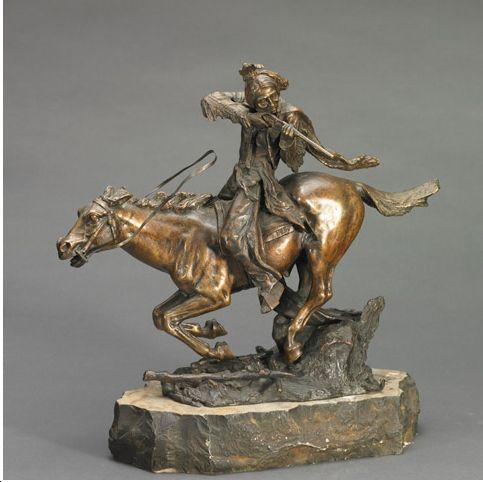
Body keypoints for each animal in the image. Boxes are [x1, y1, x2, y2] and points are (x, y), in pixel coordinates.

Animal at [57, 171, 439, 363]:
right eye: (78, 212)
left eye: (93, 218)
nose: (63, 247)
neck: (180, 236)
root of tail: (352, 185)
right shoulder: (187, 290)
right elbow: (160, 316)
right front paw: (211, 334)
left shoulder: (215, 295)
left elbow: (168, 320)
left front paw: (218, 349)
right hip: (303, 260)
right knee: (303, 296)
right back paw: (288, 336)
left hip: (322, 253)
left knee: (321, 292)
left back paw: (292, 345)